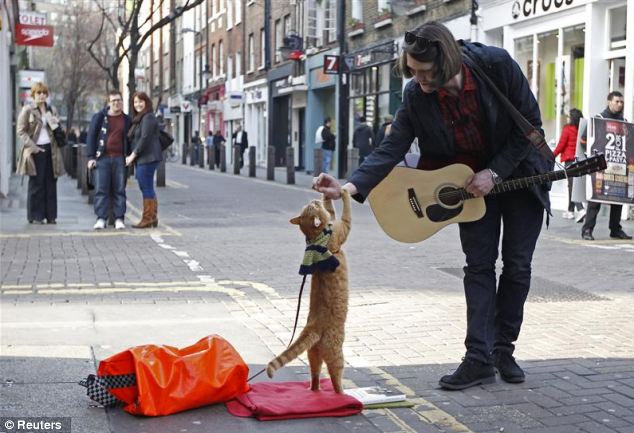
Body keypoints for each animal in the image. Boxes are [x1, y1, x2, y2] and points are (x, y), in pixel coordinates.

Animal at [262, 188, 350, 392]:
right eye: (313, 206)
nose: (314, 199)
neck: (317, 238)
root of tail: (313, 326)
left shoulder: (333, 221)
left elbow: (331, 210)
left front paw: (328, 192)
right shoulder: (342, 228)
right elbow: (346, 212)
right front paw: (344, 191)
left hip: (313, 355)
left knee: (315, 376)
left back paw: (315, 390)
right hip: (336, 354)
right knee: (335, 378)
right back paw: (343, 393)